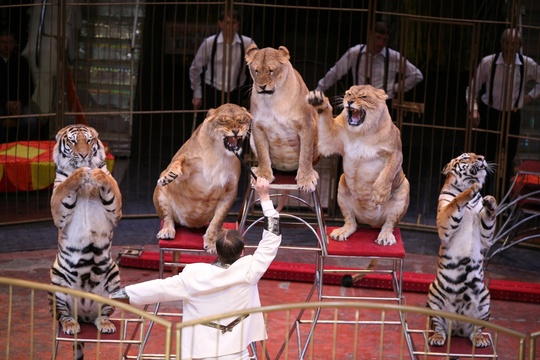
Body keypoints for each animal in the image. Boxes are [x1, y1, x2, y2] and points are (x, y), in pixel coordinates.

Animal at [49, 125, 122, 352]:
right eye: (73, 142)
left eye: (89, 141)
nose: (83, 155)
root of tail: (85, 312)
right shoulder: (57, 207)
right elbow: (66, 185)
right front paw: (80, 173)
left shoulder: (116, 210)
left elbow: (110, 185)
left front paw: (95, 173)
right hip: (58, 282)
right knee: (65, 315)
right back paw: (71, 325)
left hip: (113, 279)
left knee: (103, 314)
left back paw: (106, 324)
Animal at [426, 153, 498, 348]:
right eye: (465, 158)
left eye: (477, 155)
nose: (482, 157)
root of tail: (457, 327)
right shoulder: (444, 220)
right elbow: (455, 202)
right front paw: (473, 188)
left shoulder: (485, 236)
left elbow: (489, 218)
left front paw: (490, 200)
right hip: (434, 297)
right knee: (438, 326)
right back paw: (436, 338)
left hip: (485, 299)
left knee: (476, 330)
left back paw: (480, 340)